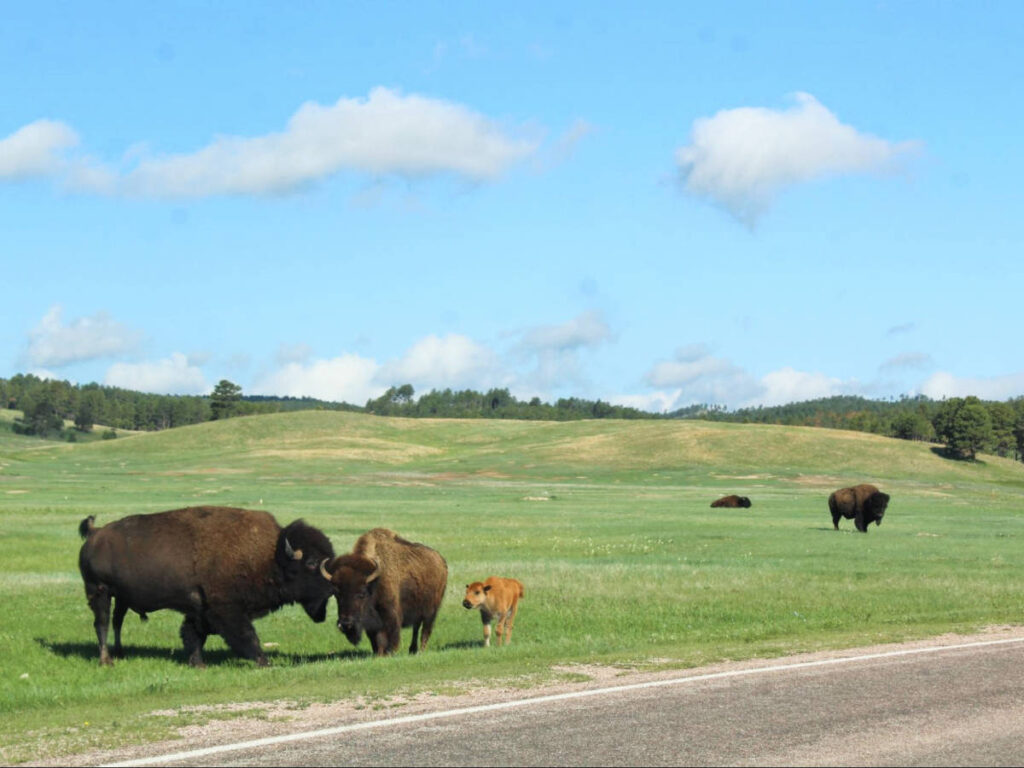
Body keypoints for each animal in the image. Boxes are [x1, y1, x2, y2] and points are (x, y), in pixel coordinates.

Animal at [78, 506, 335, 667]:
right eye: (311, 563)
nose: (332, 587)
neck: (270, 556)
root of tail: (94, 534)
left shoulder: (199, 609)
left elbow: (193, 634)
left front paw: (197, 663)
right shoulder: (225, 609)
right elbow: (246, 635)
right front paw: (264, 662)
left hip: (120, 597)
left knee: (117, 621)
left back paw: (120, 653)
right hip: (99, 591)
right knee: (102, 624)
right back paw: (106, 661)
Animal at [321, 528, 447, 656]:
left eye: (362, 594)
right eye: (337, 594)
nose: (346, 624)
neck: (374, 583)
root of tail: (441, 561)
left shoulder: (390, 616)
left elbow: (388, 637)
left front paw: (389, 653)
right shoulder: (371, 624)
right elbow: (376, 640)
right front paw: (378, 654)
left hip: (431, 612)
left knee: (425, 631)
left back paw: (420, 651)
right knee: (416, 628)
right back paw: (412, 650)